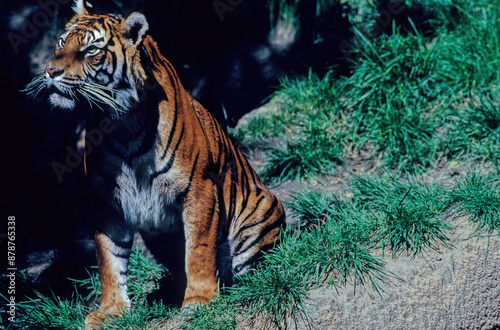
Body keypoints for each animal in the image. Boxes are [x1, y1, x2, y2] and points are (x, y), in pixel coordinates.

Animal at [25, 1, 288, 328]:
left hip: (260, 216)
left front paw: (199, 300)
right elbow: (109, 259)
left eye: (90, 50)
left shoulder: (198, 189)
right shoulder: (105, 200)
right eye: (62, 43)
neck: (121, 123)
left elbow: (198, 249)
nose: (50, 71)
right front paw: (110, 311)